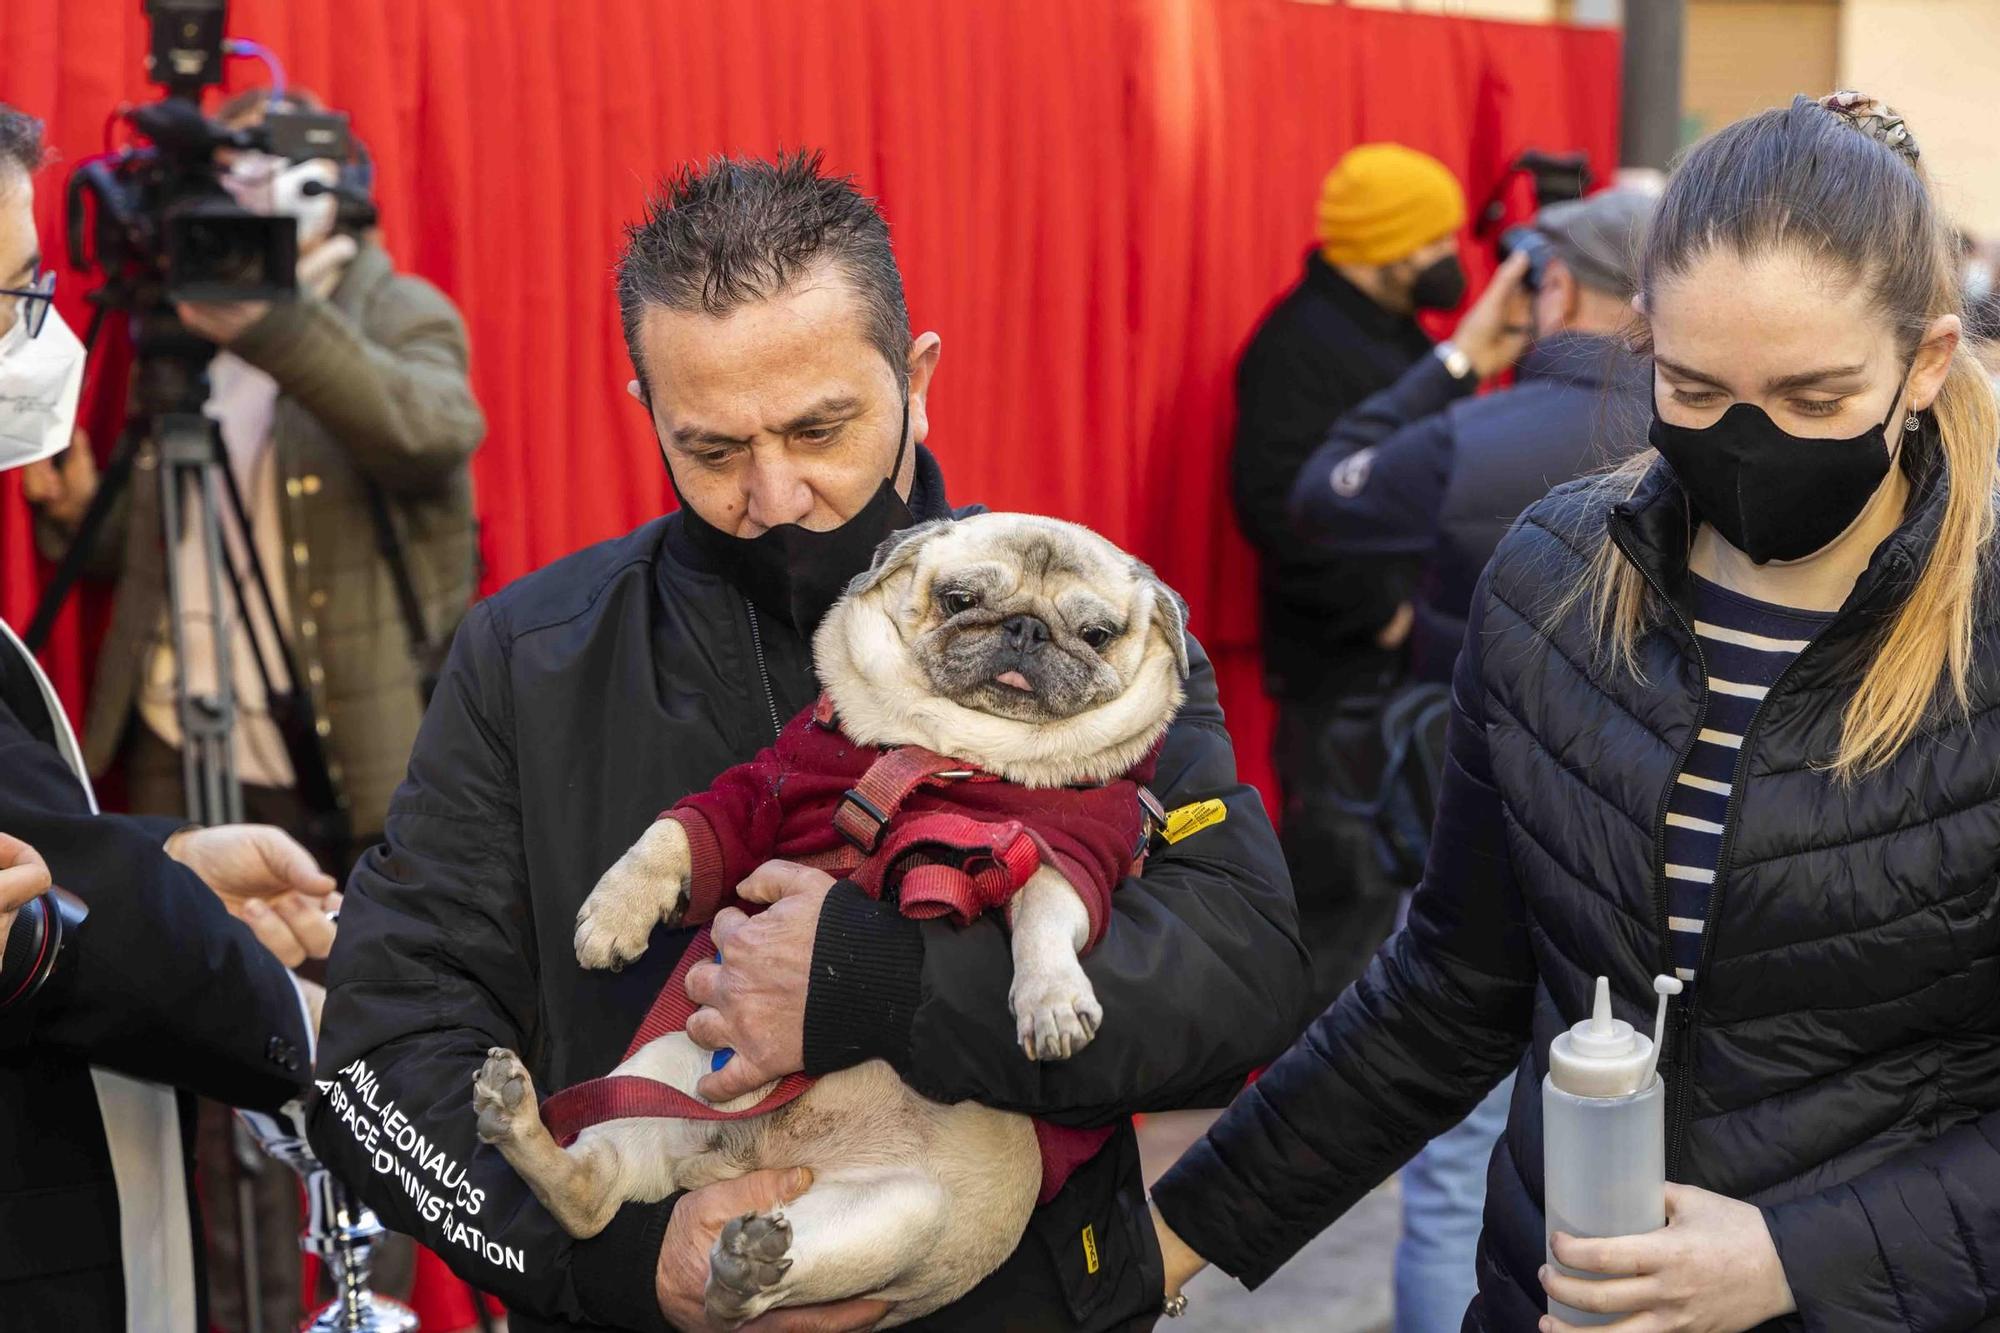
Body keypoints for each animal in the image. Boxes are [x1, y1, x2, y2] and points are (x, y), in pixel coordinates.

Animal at [468, 508, 1184, 1320]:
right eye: (959, 598)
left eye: (1096, 634)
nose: (1026, 629)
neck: (945, 758)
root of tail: (726, 1164)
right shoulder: (765, 786)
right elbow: (679, 833)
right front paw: (614, 914)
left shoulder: (1061, 853)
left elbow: (1041, 923)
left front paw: (1051, 1000)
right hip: (665, 1068)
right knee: (593, 1192)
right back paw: (517, 1115)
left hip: (894, 1220)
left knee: (742, 1272)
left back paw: (743, 1268)